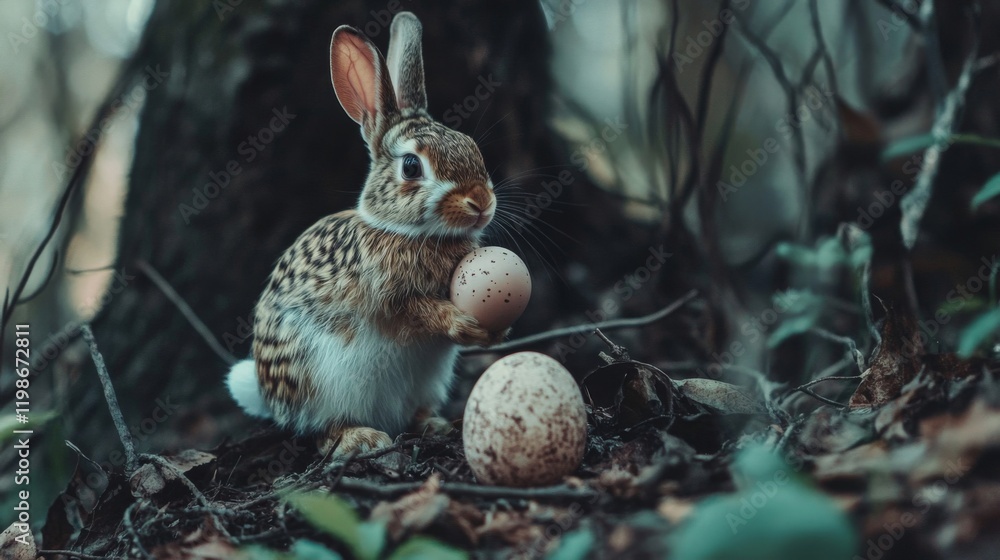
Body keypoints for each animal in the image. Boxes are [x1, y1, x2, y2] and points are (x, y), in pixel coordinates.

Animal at [226, 11, 506, 458]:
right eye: (411, 167)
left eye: (471, 147)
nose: (480, 202)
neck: (408, 232)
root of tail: (268, 395)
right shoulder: (389, 297)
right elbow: (417, 312)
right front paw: (464, 324)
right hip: (319, 382)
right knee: (320, 429)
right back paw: (361, 438)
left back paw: (433, 425)